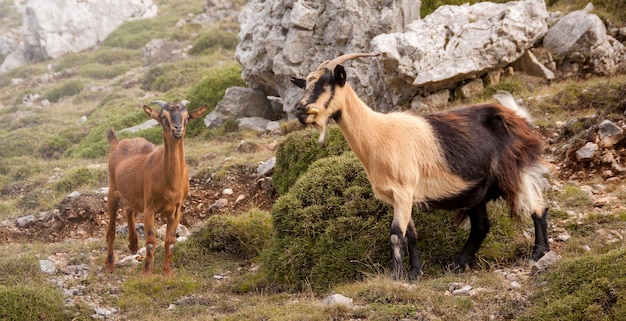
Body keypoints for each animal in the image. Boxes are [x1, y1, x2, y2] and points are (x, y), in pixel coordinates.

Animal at [105, 100, 207, 276]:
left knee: (129, 208)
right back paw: (110, 265)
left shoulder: (176, 210)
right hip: (113, 190)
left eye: (187, 117)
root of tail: (117, 144)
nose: (177, 128)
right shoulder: (149, 208)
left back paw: (133, 244)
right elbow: (151, 241)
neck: (169, 184)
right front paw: (147, 273)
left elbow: (170, 241)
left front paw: (167, 272)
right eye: (163, 117)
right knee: (111, 229)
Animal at [290, 52, 548, 278]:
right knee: (481, 226)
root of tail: (518, 116)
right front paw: (415, 272)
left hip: (517, 169)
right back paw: (459, 264)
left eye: (326, 84)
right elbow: (410, 235)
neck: (378, 134)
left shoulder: (404, 190)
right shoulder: (399, 196)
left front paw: (396, 277)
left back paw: (539, 253)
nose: (300, 109)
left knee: (537, 207)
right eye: (305, 85)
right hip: (477, 189)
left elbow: (396, 234)